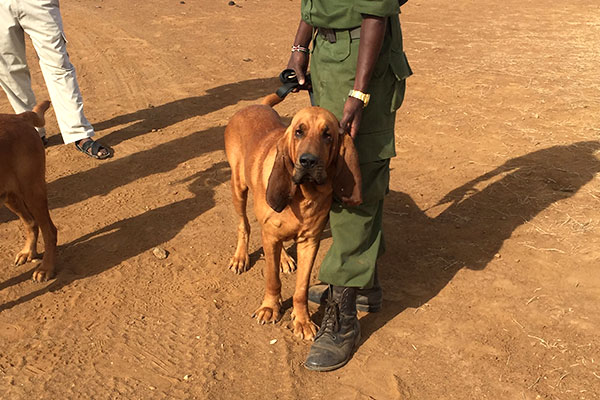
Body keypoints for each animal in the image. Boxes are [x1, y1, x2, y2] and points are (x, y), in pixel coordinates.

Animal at [0, 100, 56, 282]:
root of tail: (20, 116)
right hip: (9, 196)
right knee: (31, 223)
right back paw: (28, 252)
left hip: (33, 191)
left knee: (50, 231)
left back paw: (46, 268)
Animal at [225, 94, 364, 340]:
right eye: (299, 132)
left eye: (328, 135)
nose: (308, 161)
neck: (303, 194)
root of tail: (255, 105)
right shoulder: (270, 235)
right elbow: (272, 279)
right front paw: (270, 307)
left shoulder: (310, 241)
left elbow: (301, 288)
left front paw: (303, 320)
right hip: (238, 186)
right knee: (244, 225)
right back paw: (241, 257)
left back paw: (283, 259)